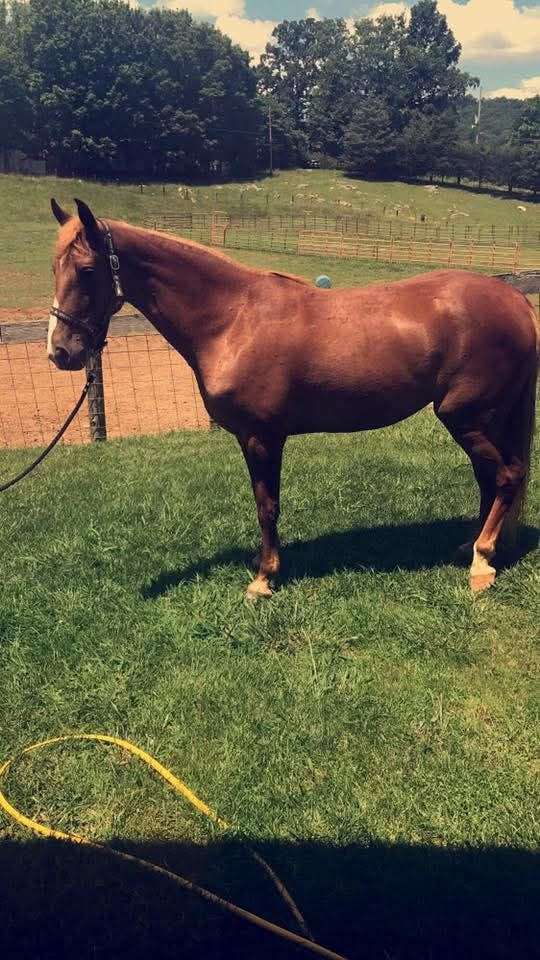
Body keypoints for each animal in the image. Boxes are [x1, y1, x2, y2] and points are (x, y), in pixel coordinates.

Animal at [48, 198, 538, 598]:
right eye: (54, 269)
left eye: (87, 271)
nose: (60, 352)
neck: (233, 318)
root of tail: (515, 299)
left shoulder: (261, 437)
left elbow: (267, 507)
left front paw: (264, 579)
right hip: (480, 420)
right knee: (490, 479)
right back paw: (473, 548)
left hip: (467, 417)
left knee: (506, 475)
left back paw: (481, 562)